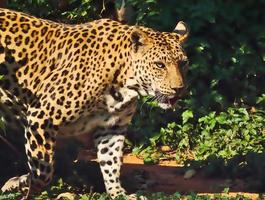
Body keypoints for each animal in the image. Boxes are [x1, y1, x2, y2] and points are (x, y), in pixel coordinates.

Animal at [0, 7, 188, 198]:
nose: (179, 89)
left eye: (183, 63)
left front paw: (118, 193)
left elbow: (111, 163)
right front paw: (23, 184)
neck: (125, 83)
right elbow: (42, 170)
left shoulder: (112, 128)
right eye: (159, 65)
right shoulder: (41, 115)